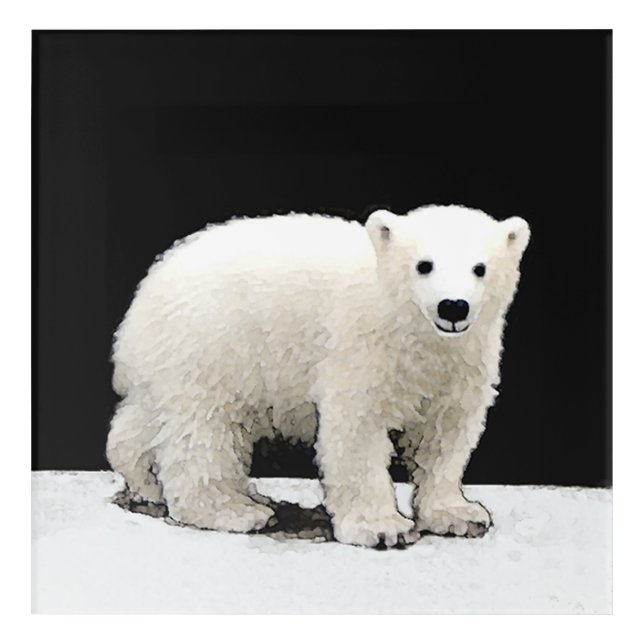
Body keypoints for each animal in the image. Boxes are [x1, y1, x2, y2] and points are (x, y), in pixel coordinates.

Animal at [106, 204, 530, 548]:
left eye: (480, 268)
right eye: (424, 265)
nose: (453, 306)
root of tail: (143, 297)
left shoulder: (463, 363)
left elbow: (445, 435)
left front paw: (459, 515)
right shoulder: (362, 347)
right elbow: (357, 430)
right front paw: (382, 527)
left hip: (172, 363)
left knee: (146, 422)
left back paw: (148, 483)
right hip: (212, 345)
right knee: (203, 432)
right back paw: (234, 510)